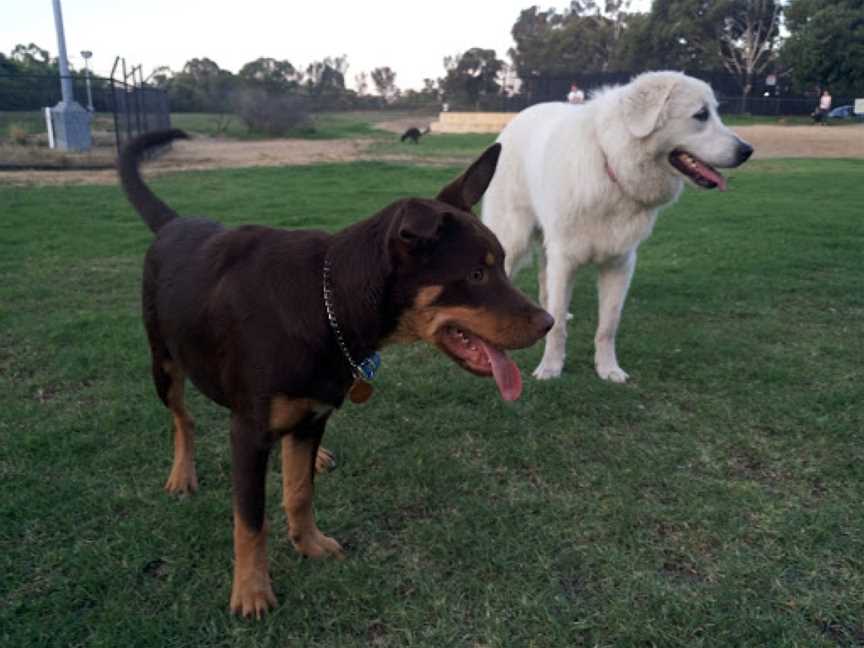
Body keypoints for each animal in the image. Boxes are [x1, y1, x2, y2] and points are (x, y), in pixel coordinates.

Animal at [118, 130, 552, 616]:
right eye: (476, 274)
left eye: (500, 264)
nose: (549, 323)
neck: (329, 304)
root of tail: (172, 225)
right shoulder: (248, 431)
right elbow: (250, 519)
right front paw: (250, 590)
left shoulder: (315, 416)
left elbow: (299, 492)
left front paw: (309, 543)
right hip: (163, 363)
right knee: (183, 417)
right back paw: (182, 474)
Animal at [482, 71, 752, 382]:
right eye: (701, 115)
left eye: (715, 112)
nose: (747, 151)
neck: (611, 164)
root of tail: (517, 119)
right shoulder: (565, 260)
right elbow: (559, 327)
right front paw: (550, 368)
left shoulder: (619, 264)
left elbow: (608, 325)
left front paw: (609, 369)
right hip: (513, 239)